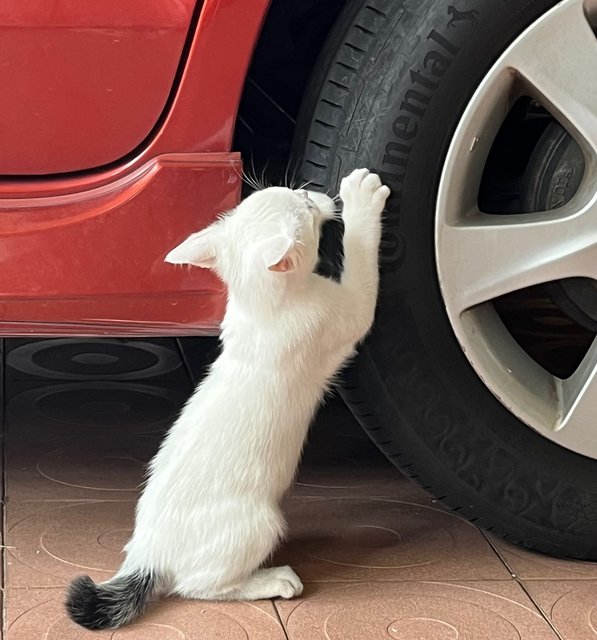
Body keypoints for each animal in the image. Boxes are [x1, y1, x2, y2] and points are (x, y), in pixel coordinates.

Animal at [66, 168, 392, 628]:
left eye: (294, 194)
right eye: (304, 207)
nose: (309, 191)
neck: (263, 307)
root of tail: (148, 556)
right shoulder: (348, 312)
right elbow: (362, 261)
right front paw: (362, 199)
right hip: (261, 521)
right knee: (197, 586)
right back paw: (273, 580)